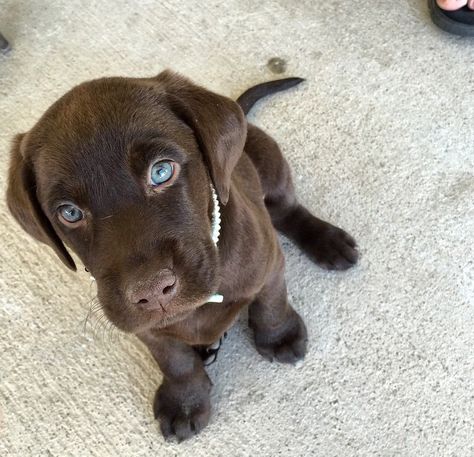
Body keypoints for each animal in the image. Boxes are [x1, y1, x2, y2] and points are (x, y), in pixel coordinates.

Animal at [5, 70, 358, 438]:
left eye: (161, 171)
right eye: (69, 213)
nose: (152, 291)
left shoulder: (268, 264)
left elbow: (271, 303)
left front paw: (280, 337)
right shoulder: (147, 329)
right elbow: (175, 361)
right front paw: (185, 401)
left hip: (269, 160)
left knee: (287, 209)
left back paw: (326, 240)